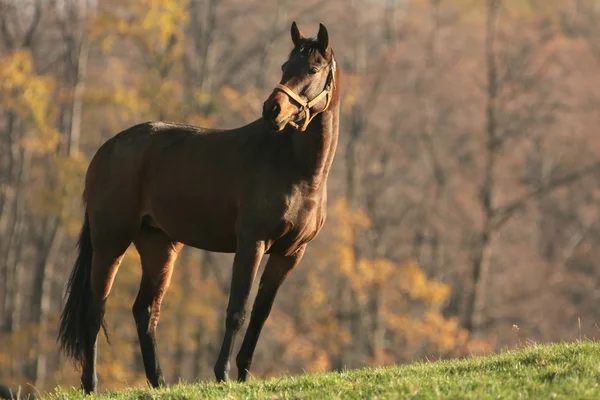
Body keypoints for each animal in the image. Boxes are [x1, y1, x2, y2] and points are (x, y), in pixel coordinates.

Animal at [59, 22, 342, 394]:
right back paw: (91, 385)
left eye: (312, 69)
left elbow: (261, 314)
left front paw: (244, 374)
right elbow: (237, 311)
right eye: (285, 66)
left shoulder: (289, 254)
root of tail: (107, 149)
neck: (296, 169)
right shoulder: (251, 244)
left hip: (159, 245)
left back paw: (159, 383)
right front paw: (222, 374)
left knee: (145, 311)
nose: (272, 110)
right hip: (111, 242)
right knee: (96, 309)